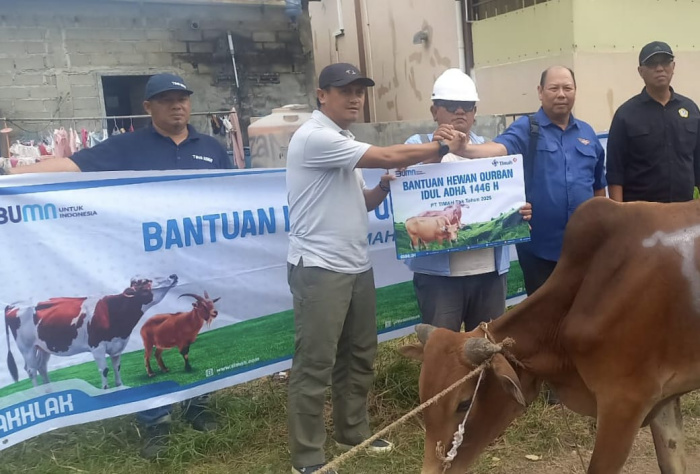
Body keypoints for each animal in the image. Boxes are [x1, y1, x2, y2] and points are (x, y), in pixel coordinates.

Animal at [5, 274, 178, 390]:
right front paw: (106, 390)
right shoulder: (97, 347)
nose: (173, 275)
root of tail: (13, 306)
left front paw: (120, 386)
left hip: (43, 346)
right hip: (26, 347)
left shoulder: (117, 345)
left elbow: (117, 368)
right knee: (31, 370)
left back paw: (49, 392)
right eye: (145, 281)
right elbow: (105, 370)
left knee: (41, 367)